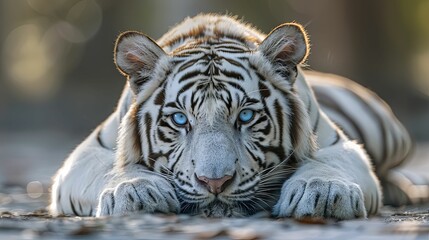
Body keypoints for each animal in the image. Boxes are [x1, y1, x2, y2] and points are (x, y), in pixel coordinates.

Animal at [48, 13, 416, 219]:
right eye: (180, 120)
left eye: (247, 116)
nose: (215, 183)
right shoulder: (88, 153)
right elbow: (111, 168)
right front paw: (136, 192)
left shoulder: (339, 144)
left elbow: (328, 164)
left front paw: (324, 193)